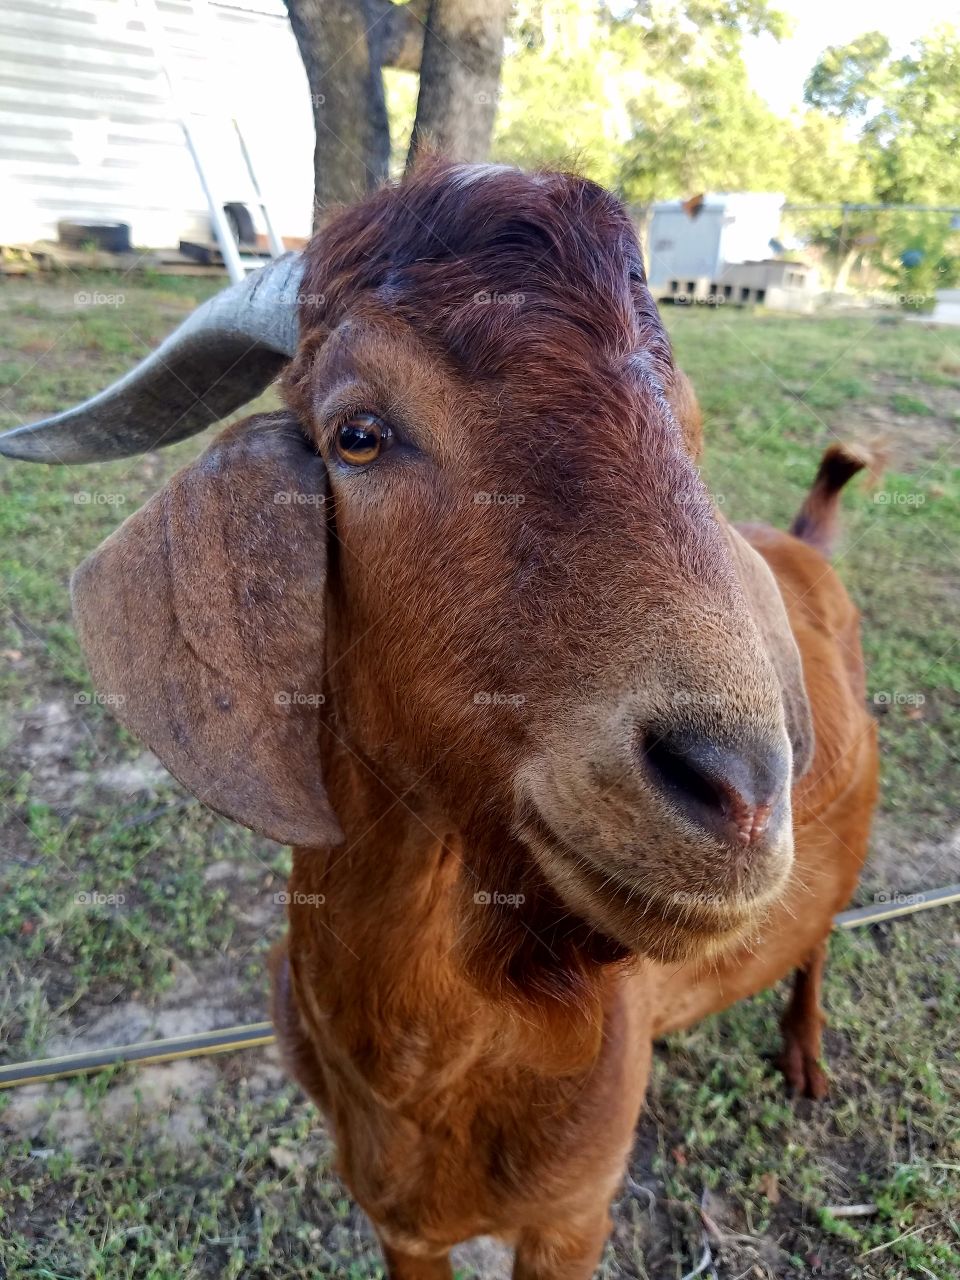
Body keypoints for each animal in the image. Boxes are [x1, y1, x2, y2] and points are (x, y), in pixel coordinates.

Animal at [0, 157, 880, 1269]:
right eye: (357, 435)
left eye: (687, 430)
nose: (739, 791)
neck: (421, 1062)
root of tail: (808, 543)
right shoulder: (395, 1217)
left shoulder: (574, 1214)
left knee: (820, 936)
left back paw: (805, 1055)